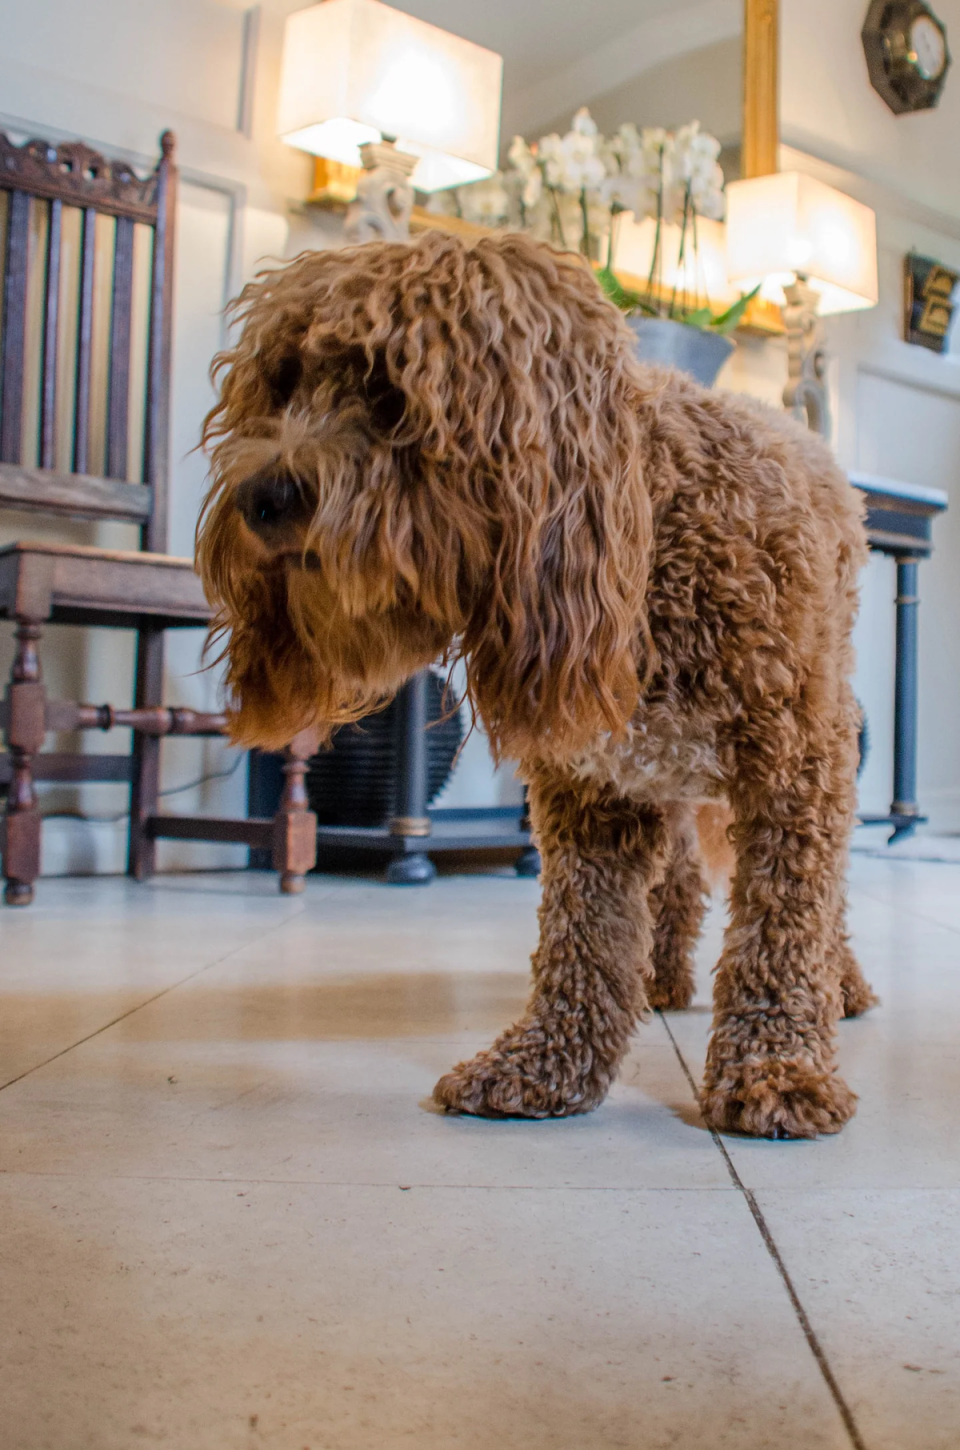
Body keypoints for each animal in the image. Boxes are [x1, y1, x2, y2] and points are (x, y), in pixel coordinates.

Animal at [197, 229, 881, 1142]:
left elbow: (787, 920)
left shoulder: (794, 765)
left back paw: (840, 985)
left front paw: (777, 1066)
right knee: (678, 880)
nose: (261, 496)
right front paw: (548, 1064)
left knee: (818, 906)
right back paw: (660, 974)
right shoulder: (594, 793)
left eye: (389, 391)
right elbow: (582, 940)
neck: (644, 541)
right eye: (281, 385)